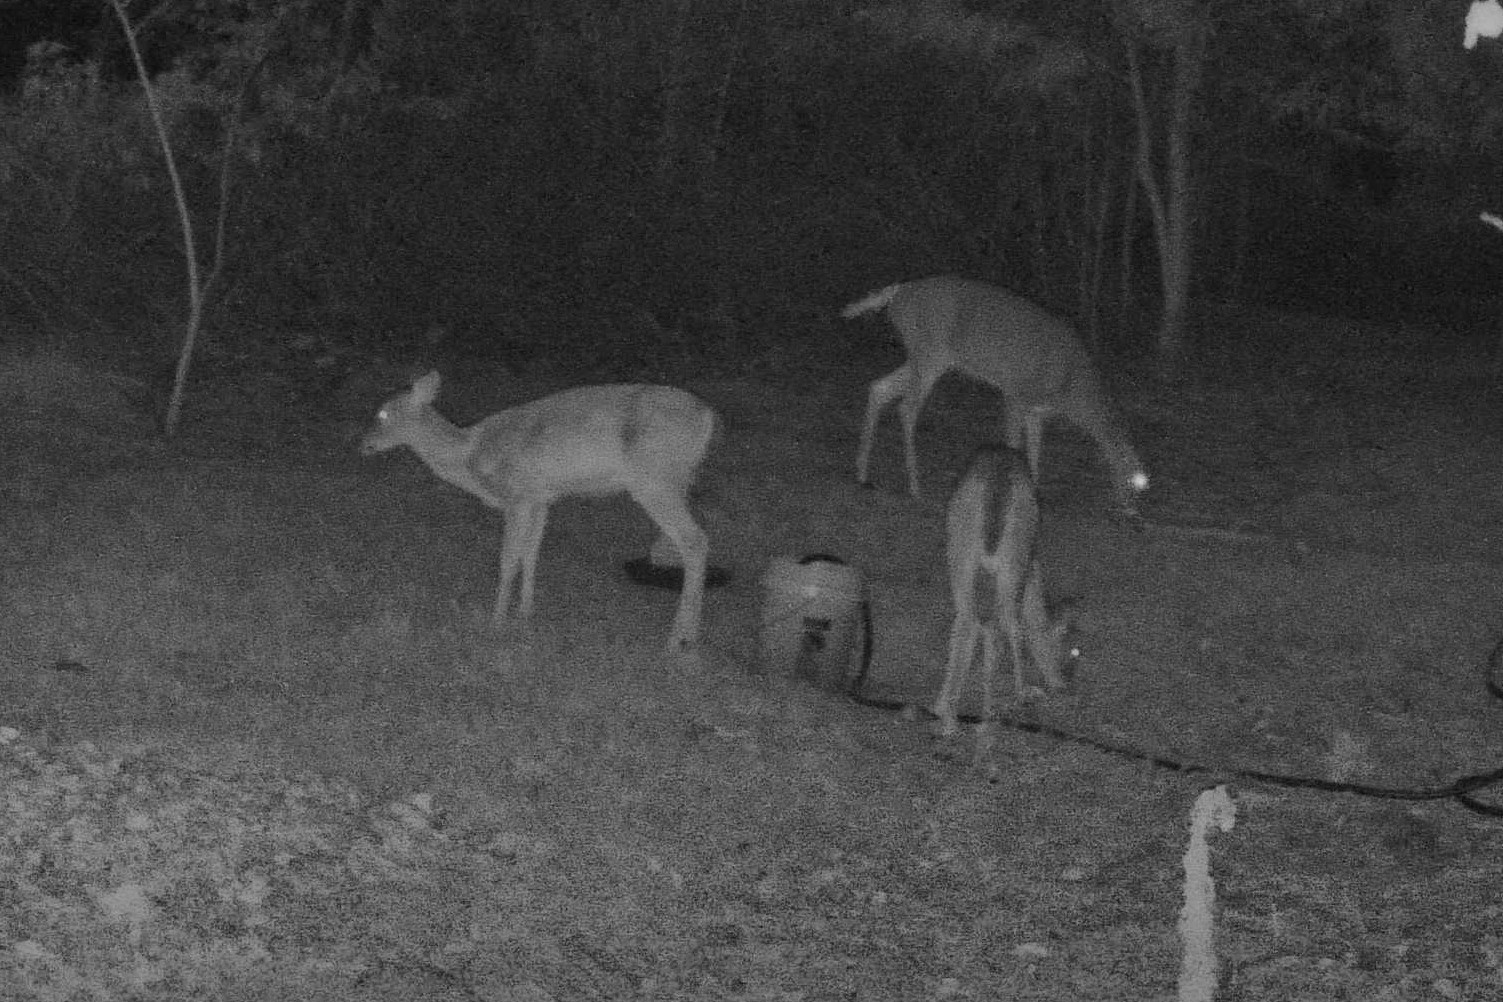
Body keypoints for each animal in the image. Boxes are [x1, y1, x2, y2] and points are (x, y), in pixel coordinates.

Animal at [360, 371, 716, 652]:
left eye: (383, 414)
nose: (363, 445)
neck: (470, 454)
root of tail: (708, 416)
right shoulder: (541, 499)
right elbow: (530, 555)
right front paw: (524, 613)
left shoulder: (517, 495)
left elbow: (508, 560)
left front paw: (496, 621)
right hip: (673, 481)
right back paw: (690, 635)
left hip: (654, 480)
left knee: (694, 541)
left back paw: (678, 640)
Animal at [843, 275, 1149, 506]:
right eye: (1132, 479)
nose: (1133, 512)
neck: (1070, 387)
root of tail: (898, 293)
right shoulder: (1014, 392)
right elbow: (1014, 444)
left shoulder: (1037, 410)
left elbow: (1035, 449)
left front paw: (1035, 494)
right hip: (930, 351)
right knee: (906, 408)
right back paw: (916, 488)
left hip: (924, 356)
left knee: (879, 387)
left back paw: (862, 473)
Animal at [931, 445, 1074, 737]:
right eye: (1064, 649)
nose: (1062, 684)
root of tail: (998, 486)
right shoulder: (1029, 569)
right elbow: (1017, 629)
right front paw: (1025, 694)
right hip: (1013, 558)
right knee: (1008, 624)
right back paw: (1014, 699)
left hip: (960, 547)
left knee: (967, 621)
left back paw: (947, 715)